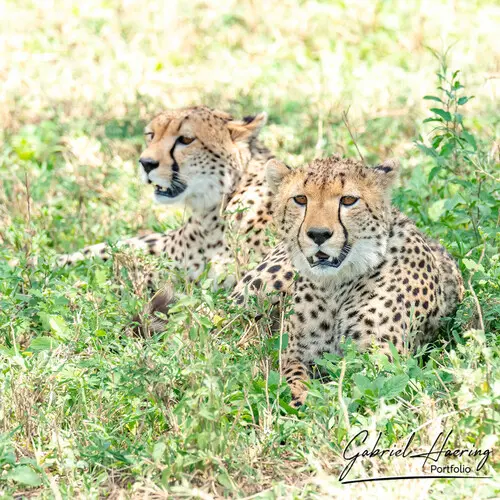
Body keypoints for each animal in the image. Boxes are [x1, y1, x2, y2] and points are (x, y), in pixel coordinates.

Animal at [234, 155, 464, 406]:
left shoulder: (381, 359)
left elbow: (343, 385)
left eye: (348, 200)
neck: (335, 286)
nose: (318, 234)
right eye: (300, 199)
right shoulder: (296, 354)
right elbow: (292, 375)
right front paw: (297, 395)